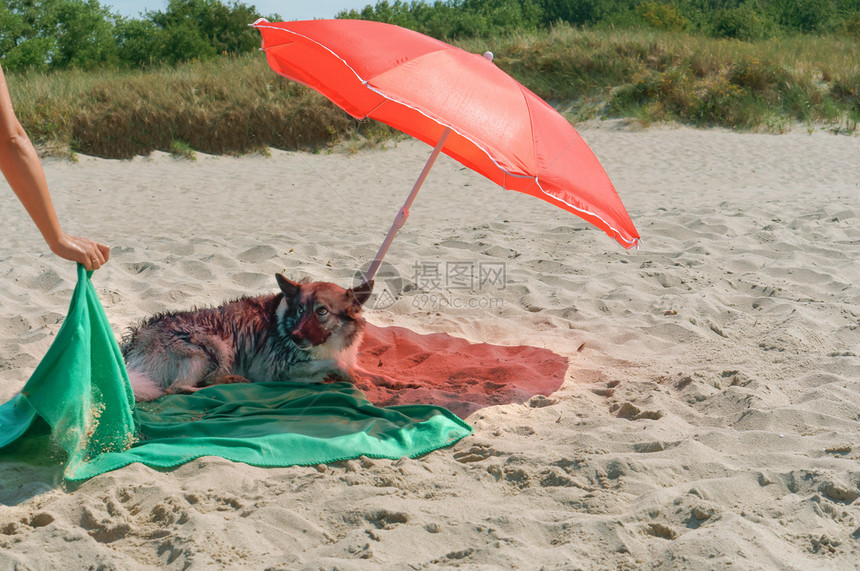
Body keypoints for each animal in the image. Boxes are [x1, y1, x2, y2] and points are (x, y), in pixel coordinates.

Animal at [122, 274, 372, 402]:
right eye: (300, 310)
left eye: (322, 311)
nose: (294, 337)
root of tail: (132, 345)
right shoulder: (275, 369)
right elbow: (335, 363)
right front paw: (350, 378)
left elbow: (357, 368)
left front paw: (370, 379)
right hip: (212, 347)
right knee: (177, 388)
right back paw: (228, 385)